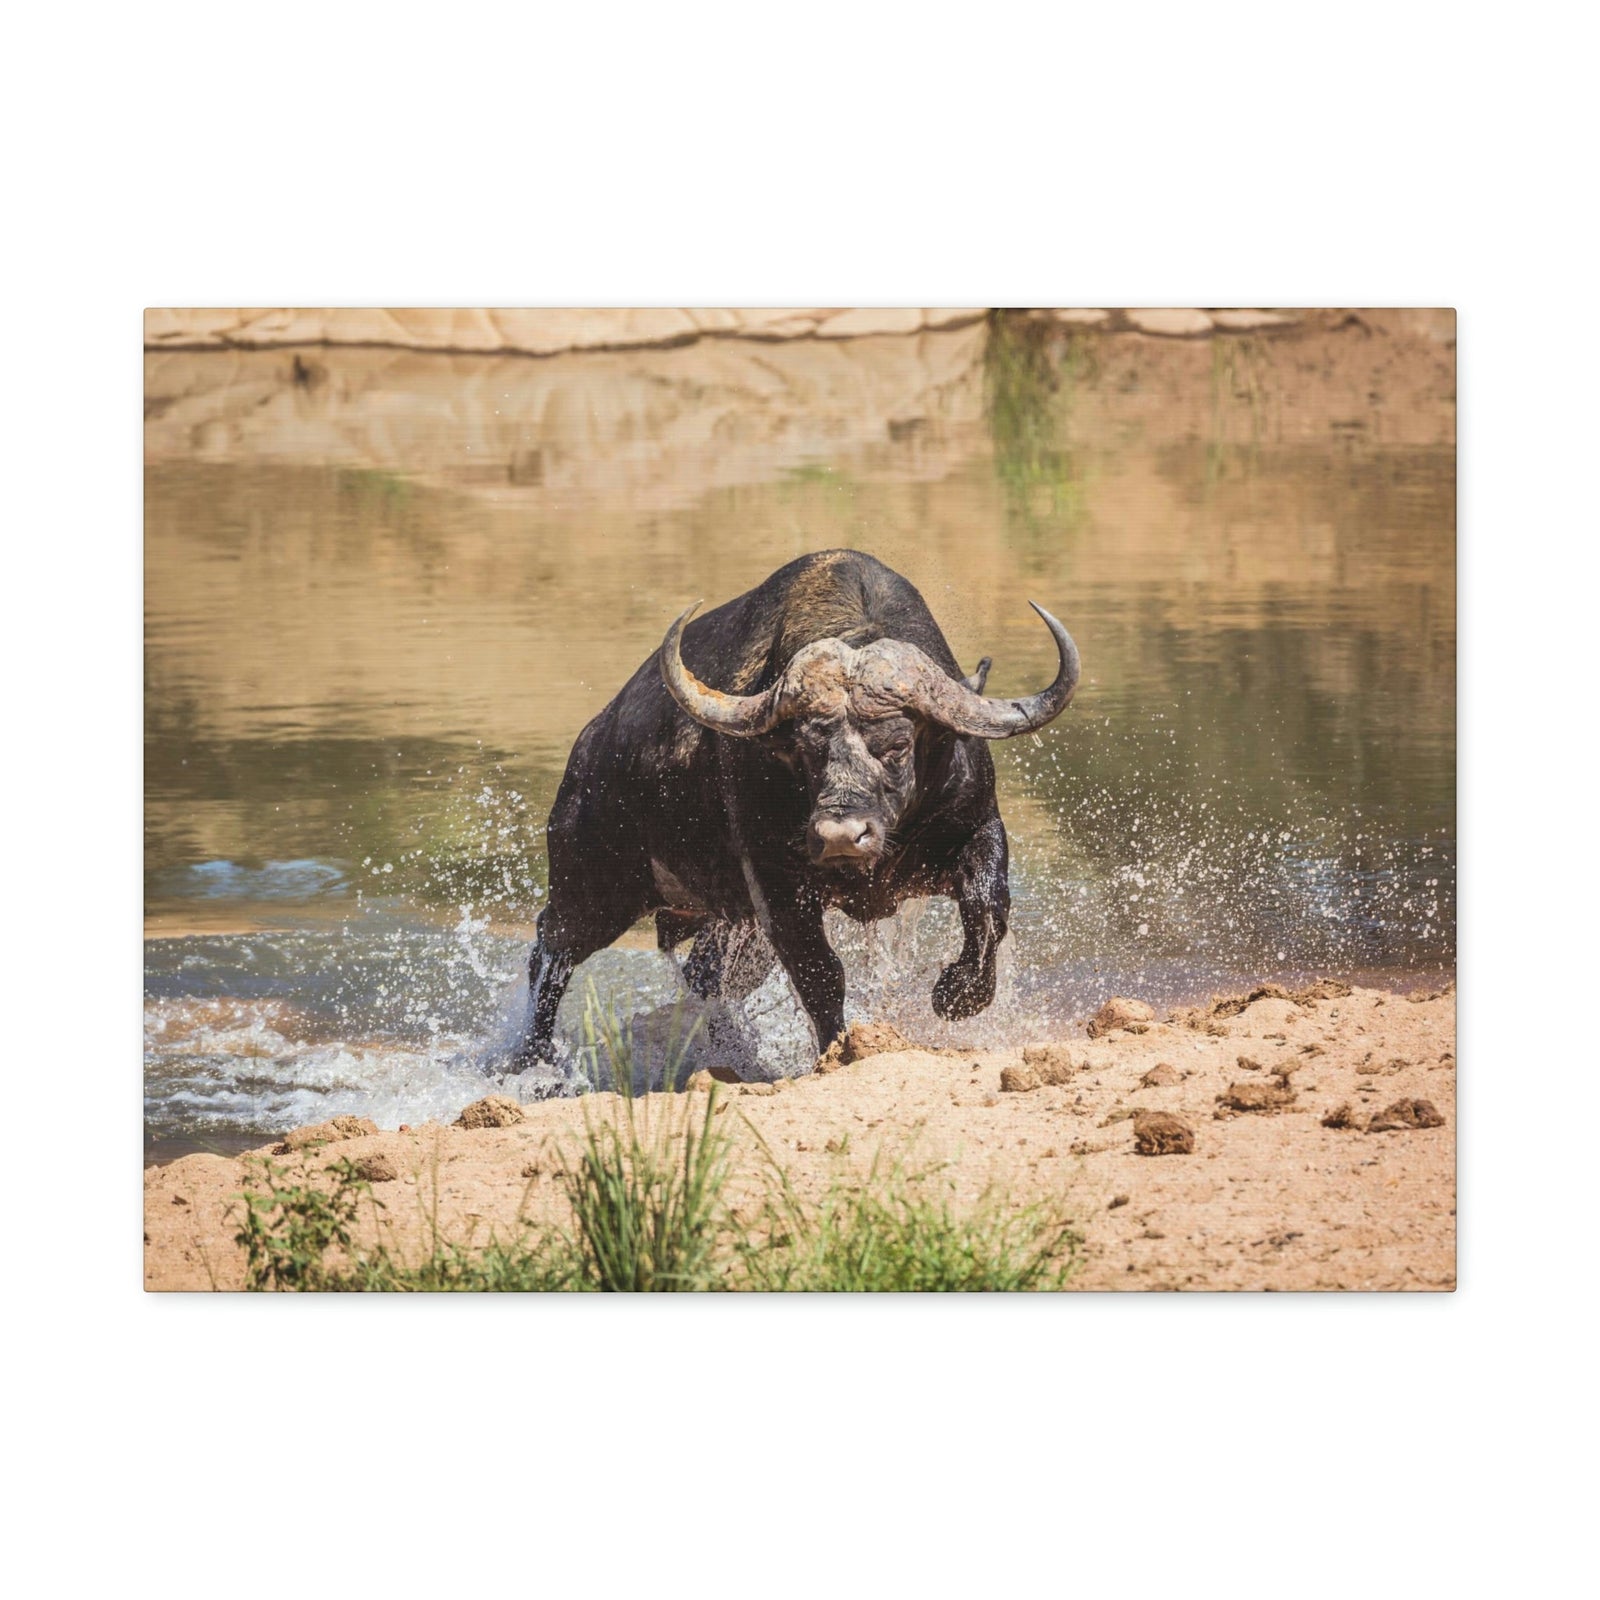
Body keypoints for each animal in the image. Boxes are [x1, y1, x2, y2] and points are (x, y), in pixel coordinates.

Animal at [511, 549, 1079, 1070]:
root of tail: (589, 748)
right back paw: (534, 1062)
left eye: (897, 744)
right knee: (550, 954)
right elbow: (820, 973)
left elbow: (988, 909)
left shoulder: (976, 827)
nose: (841, 836)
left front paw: (958, 995)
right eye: (805, 750)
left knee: (705, 977)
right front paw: (840, 1051)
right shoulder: (776, 882)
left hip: (727, 923)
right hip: (592, 889)